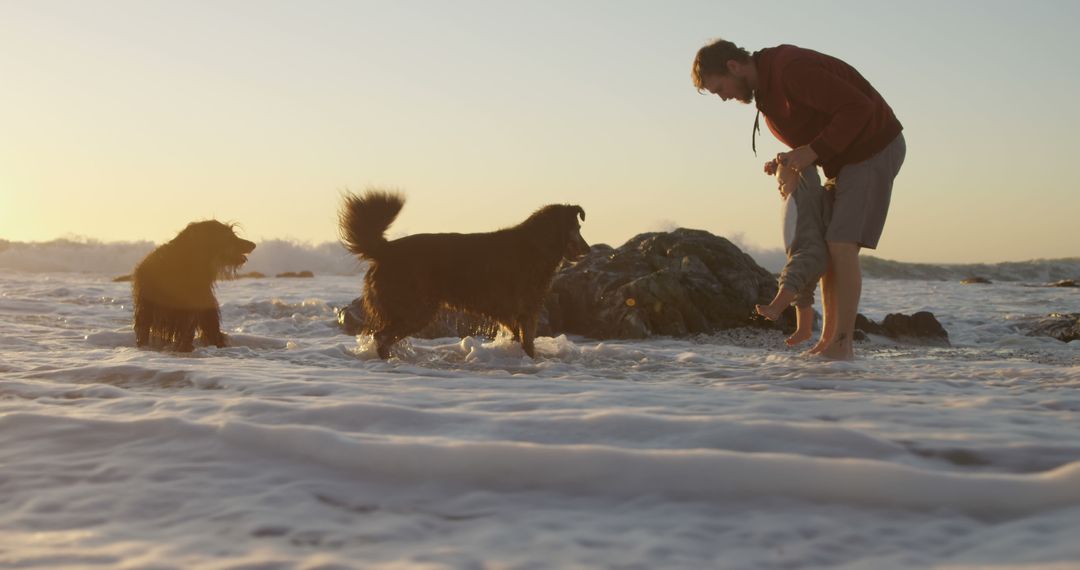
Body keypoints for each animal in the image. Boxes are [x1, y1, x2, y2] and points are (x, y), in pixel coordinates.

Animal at [339, 192, 587, 360]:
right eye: (577, 229)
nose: (588, 250)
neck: (537, 245)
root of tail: (385, 249)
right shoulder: (527, 312)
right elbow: (529, 344)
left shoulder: (515, 315)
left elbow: (521, 340)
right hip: (416, 310)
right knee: (382, 337)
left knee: (382, 337)